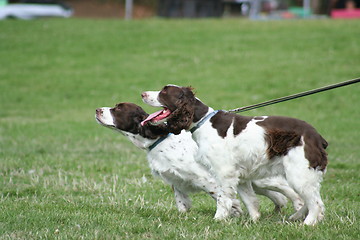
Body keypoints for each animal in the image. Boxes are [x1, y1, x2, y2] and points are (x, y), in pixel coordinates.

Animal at [95, 101, 300, 216]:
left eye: (118, 109)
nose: (97, 110)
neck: (160, 140)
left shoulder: (206, 177)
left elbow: (221, 196)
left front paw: (233, 212)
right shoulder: (175, 180)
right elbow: (181, 203)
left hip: (263, 178)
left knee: (288, 190)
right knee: (278, 196)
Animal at [142, 86, 328, 225]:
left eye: (164, 92)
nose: (142, 94)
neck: (203, 122)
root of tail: (317, 136)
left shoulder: (224, 172)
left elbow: (223, 199)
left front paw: (218, 219)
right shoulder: (240, 175)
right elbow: (250, 200)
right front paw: (253, 220)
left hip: (298, 172)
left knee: (316, 203)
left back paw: (307, 223)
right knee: (310, 199)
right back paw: (297, 217)